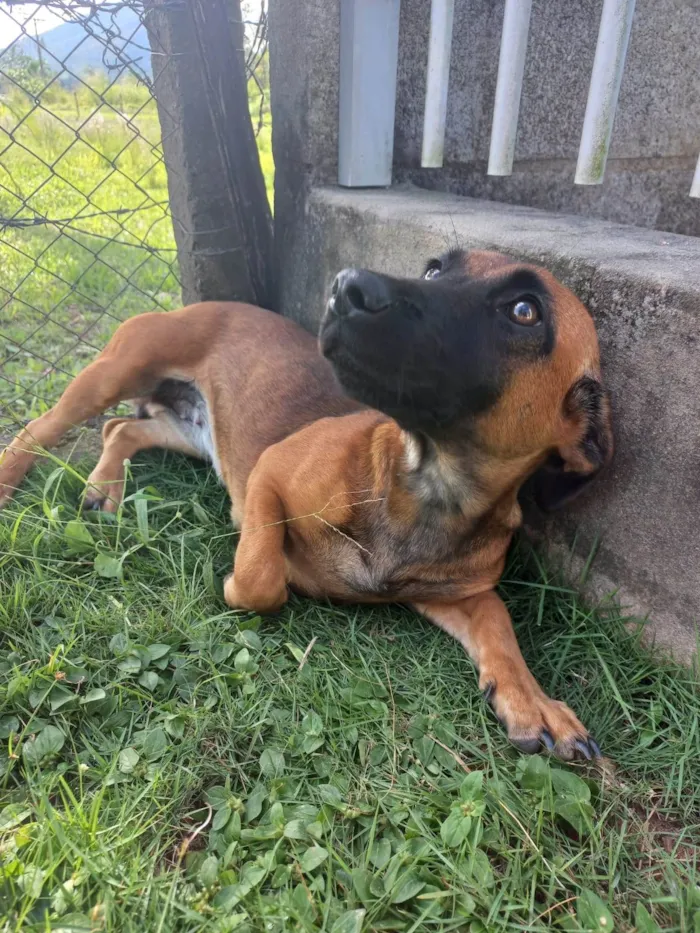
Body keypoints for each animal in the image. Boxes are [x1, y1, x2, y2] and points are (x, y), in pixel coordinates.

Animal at [0, 248, 612, 756]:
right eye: (435, 268)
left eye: (524, 311)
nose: (347, 286)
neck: (430, 486)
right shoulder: (270, 475)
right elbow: (260, 580)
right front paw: (248, 578)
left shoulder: (462, 595)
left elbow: (499, 630)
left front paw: (532, 700)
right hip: (112, 374)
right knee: (41, 428)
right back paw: (14, 478)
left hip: (194, 433)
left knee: (120, 429)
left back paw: (104, 486)